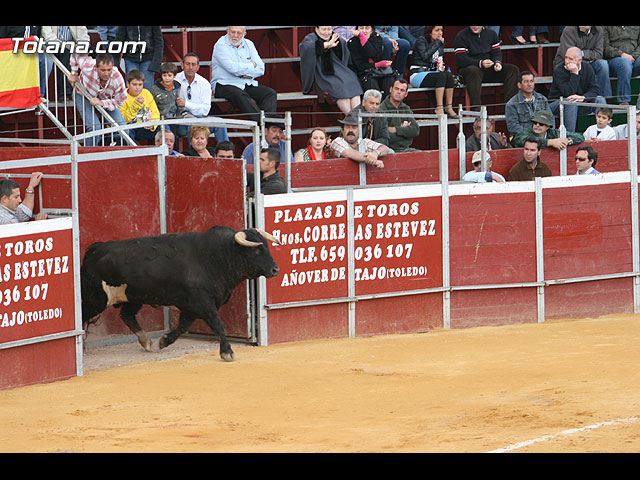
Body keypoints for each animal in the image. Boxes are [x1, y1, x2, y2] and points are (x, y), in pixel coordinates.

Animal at [80, 226, 280, 361]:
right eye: (256, 250)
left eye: (267, 247)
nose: (275, 269)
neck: (216, 256)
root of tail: (96, 248)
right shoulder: (204, 303)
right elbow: (218, 324)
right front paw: (227, 352)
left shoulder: (191, 307)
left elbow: (183, 327)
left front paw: (164, 340)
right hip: (95, 299)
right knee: (84, 316)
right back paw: (81, 347)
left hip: (134, 298)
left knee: (127, 315)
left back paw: (146, 341)